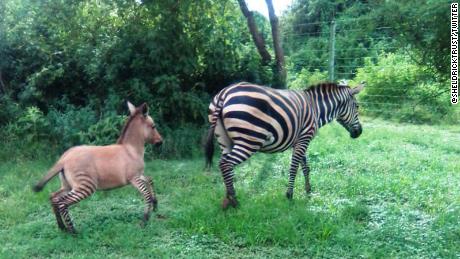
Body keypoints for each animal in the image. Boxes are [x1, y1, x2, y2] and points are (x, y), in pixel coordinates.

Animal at [32, 102, 162, 235]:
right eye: (153, 126)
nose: (160, 142)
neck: (131, 150)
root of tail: (64, 158)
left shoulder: (139, 174)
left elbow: (150, 180)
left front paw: (155, 204)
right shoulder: (133, 178)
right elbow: (146, 194)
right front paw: (144, 220)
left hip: (68, 185)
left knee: (54, 197)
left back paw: (62, 227)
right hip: (86, 186)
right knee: (62, 202)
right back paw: (73, 232)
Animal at [204, 81, 362, 209]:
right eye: (357, 106)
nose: (359, 132)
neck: (316, 108)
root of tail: (224, 93)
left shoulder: (299, 140)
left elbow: (305, 167)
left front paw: (308, 190)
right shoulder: (304, 138)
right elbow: (294, 168)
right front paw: (289, 195)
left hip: (225, 140)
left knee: (225, 166)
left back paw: (227, 199)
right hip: (249, 141)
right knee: (225, 164)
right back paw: (235, 201)